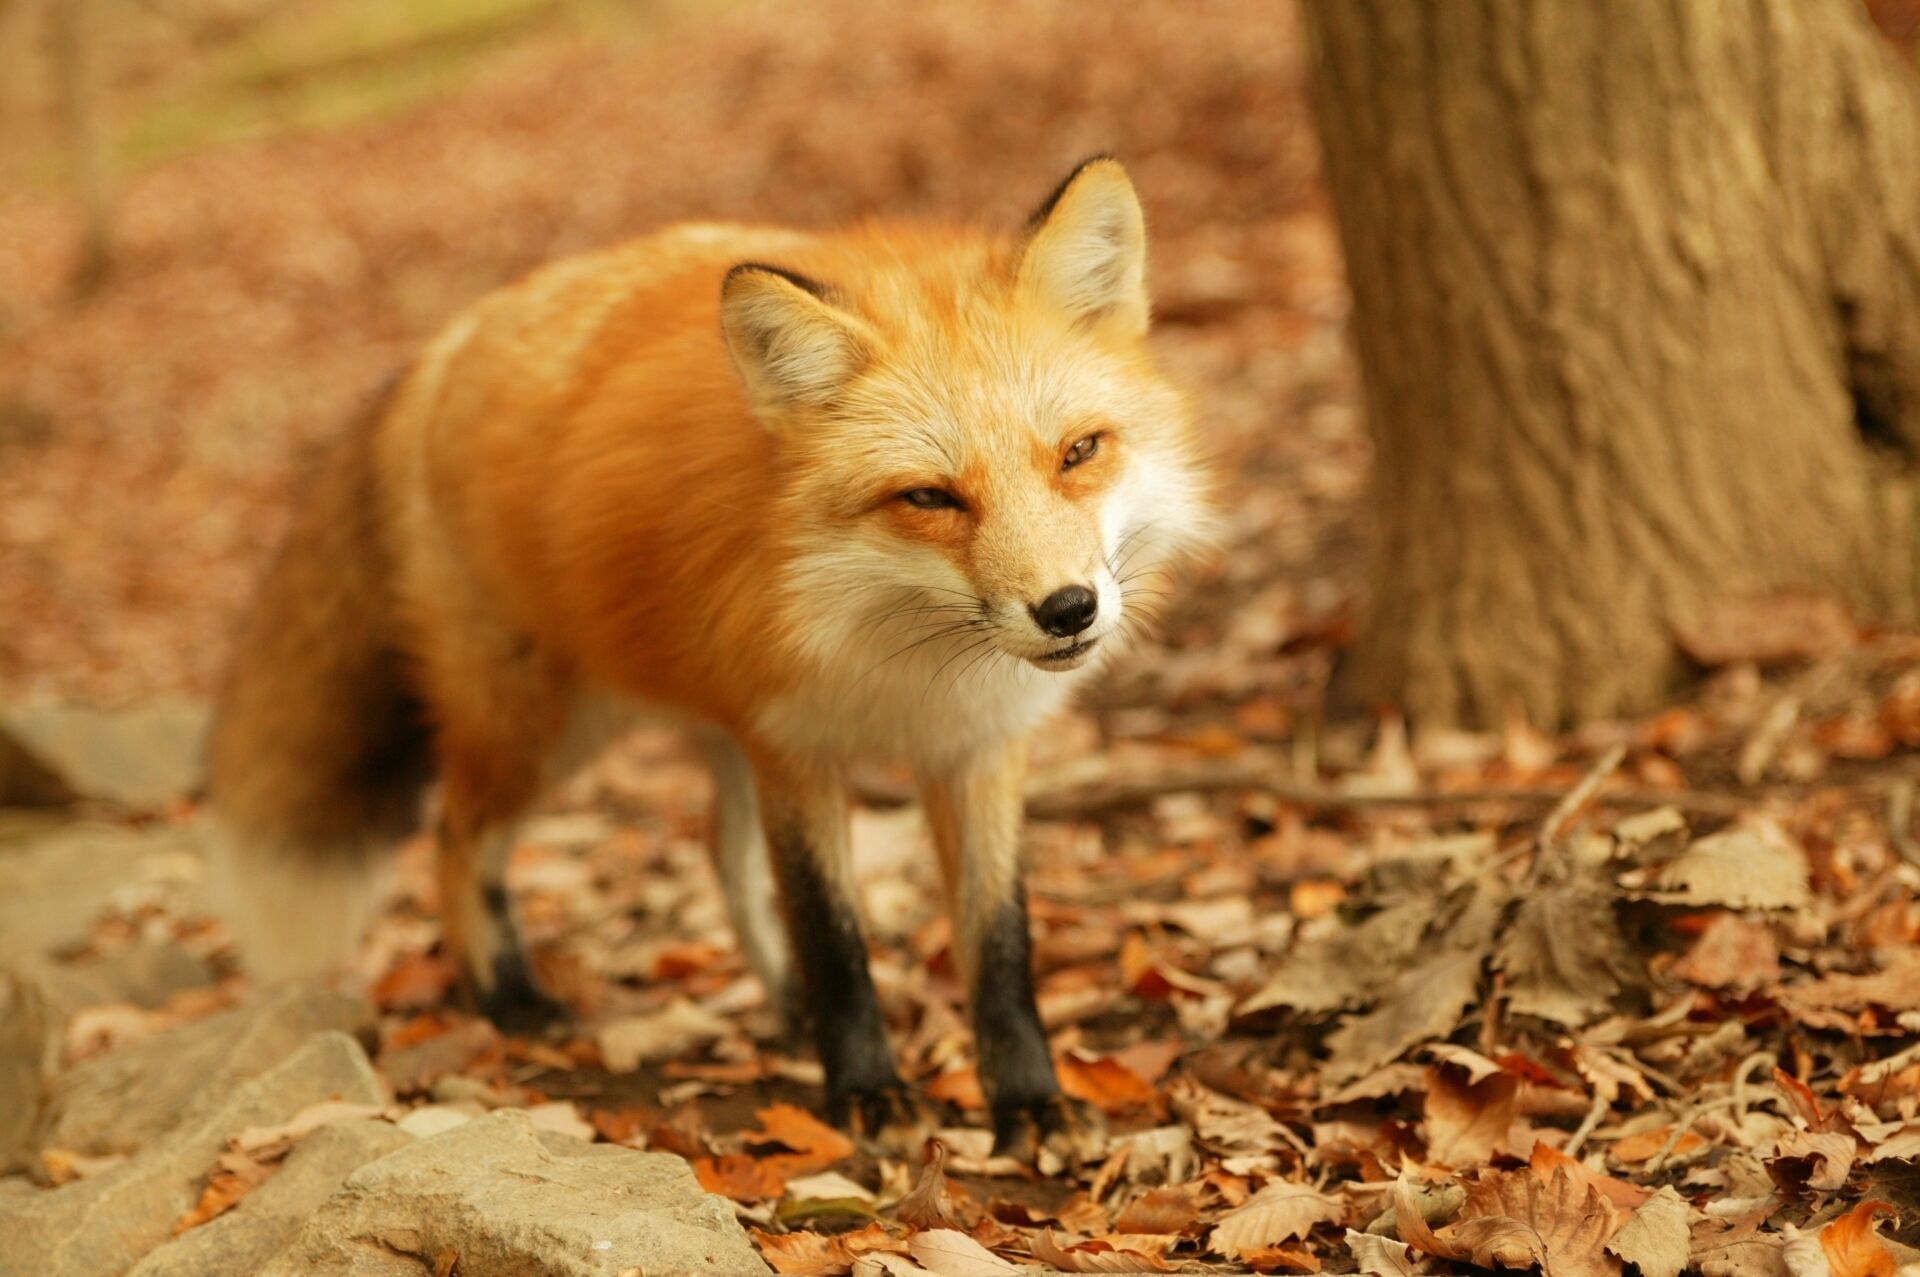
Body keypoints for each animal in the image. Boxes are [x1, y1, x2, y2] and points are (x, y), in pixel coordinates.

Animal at [208, 157, 1210, 1158]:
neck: (904, 653)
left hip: (707, 727)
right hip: (543, 722)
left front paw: (1028, 1101)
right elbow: (831, 930)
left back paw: (783, 1008)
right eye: (930, 497)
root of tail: (440, 348)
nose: (1068, 609)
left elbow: (999, 939)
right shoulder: (797, 742)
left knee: (718, 854)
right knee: (457, 840)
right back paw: (508, 998)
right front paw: (866, 1091)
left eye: (1078, 451)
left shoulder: (974, 746)